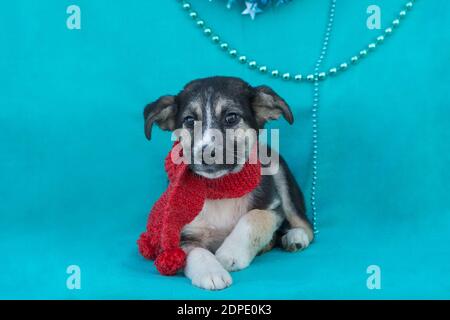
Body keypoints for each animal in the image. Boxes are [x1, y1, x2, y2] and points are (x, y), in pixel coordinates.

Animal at [144, 75, 312, 290]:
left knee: (305, 225)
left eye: (231, 117)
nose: (206, 153)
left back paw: (295, 237)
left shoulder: (275, 209)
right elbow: (197, 252)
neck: (222, 188)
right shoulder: (183, 234)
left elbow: (254, 216)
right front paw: (211, 272)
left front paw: (230, 254)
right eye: (189, 120)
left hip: (280, 172)